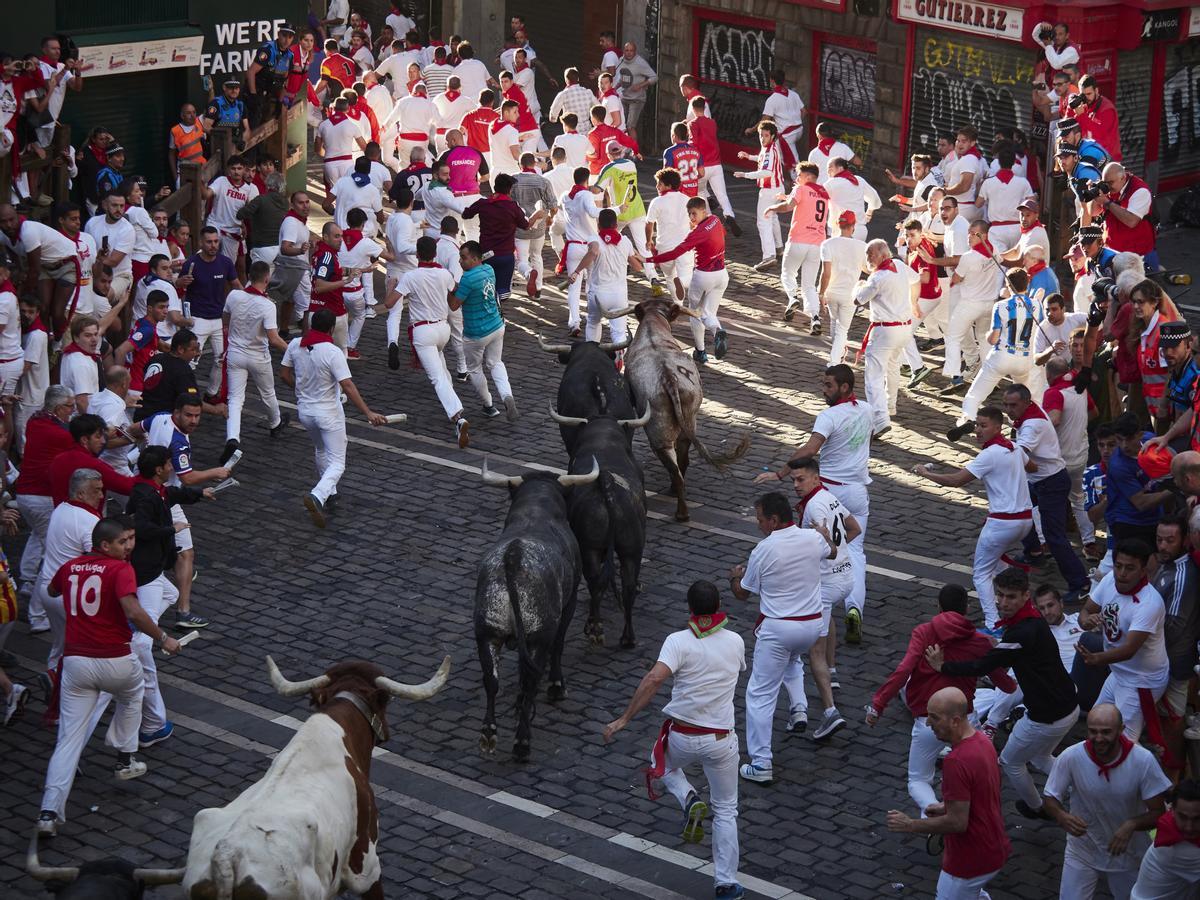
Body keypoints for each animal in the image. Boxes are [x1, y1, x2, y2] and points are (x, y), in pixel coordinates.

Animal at [619, 296, 748, 520]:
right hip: (688, 423)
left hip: (658, 435)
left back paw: (681, 512)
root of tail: (669, 378)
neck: (653, 324)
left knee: (675, 469)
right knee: (683, 461)